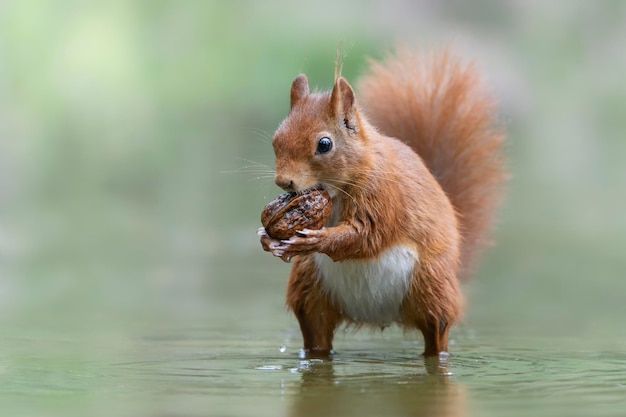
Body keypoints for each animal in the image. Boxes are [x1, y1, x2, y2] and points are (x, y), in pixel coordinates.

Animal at [256, 46, 504, 358]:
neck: (336, 192)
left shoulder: (385, 197)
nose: (284, 182)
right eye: (276, 140)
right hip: (309, 290)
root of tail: (379, 317)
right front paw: (267, 237)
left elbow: (367, 235)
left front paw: (314, 240)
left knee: (436, 335)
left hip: (432, 289)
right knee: (317, 335)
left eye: (324, 144)